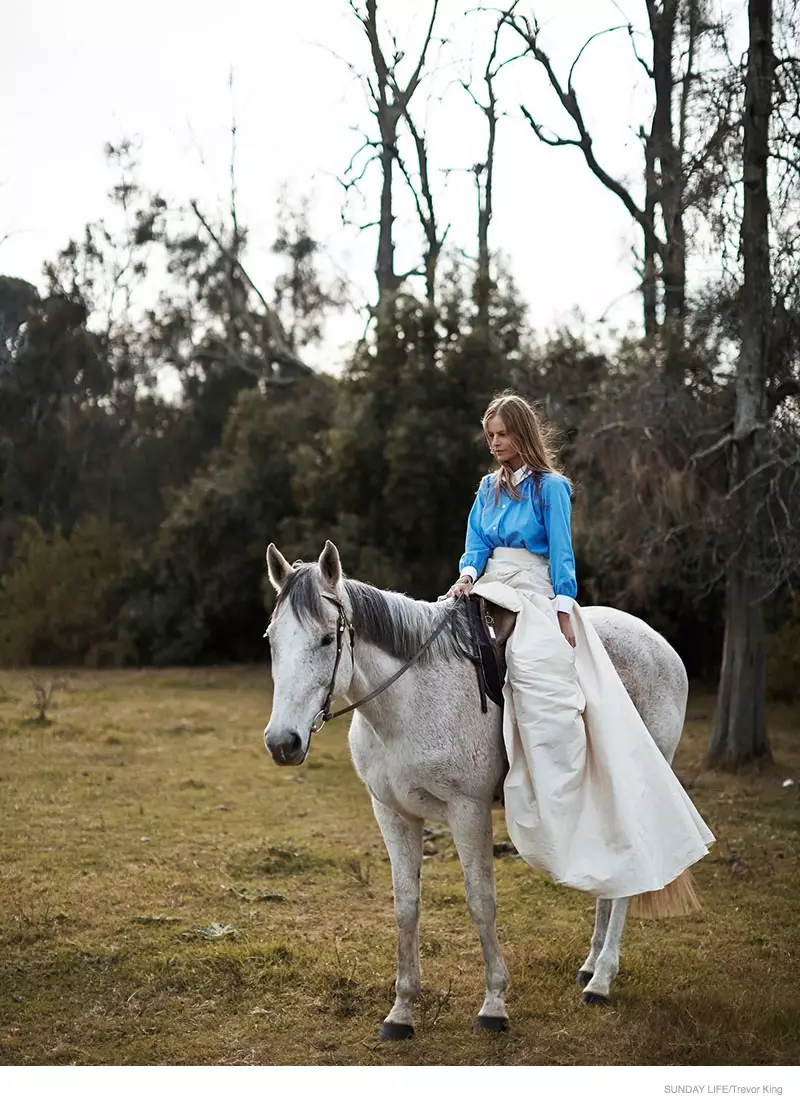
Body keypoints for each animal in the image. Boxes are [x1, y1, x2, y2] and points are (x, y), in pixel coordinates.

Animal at [263, 539, 690, 1039]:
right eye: (271, 640)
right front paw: (401, 1012)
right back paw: (590, 966)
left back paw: (601, 980)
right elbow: (406, 906)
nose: (283, 742)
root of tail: (661, 646)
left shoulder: (467, 811)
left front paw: (494, 1005)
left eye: (327, 639)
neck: (411, 699)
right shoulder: (392, 812)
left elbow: (481, 902)